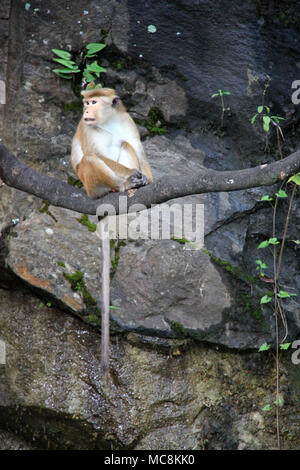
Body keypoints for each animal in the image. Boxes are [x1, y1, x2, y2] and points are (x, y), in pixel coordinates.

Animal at [71, 87, 152, 374]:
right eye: (86, 102)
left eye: (94, 102)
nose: (86, 109)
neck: (107, 122)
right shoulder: (86, 128)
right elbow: (95, 154)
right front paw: (132, 177)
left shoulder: (127, 121)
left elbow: (136, 146)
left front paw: (148, 180)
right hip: (90, 184)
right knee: (91, 160)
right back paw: (125, 183)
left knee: (125, 145)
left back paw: (132, 186)